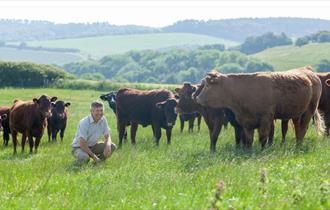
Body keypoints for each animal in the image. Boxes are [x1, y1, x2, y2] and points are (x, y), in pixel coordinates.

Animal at [195, 66, 324, 148]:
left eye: (207, 86)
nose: (197, 98)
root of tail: (308, 72)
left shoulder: (266, 119)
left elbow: (263, 138)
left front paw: (263, 150)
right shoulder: (246, 122)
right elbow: (249, 140)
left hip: (309, 111)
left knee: (303, 128)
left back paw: (299, 146)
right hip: (297, 114)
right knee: (298, 128)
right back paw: (297, 144)